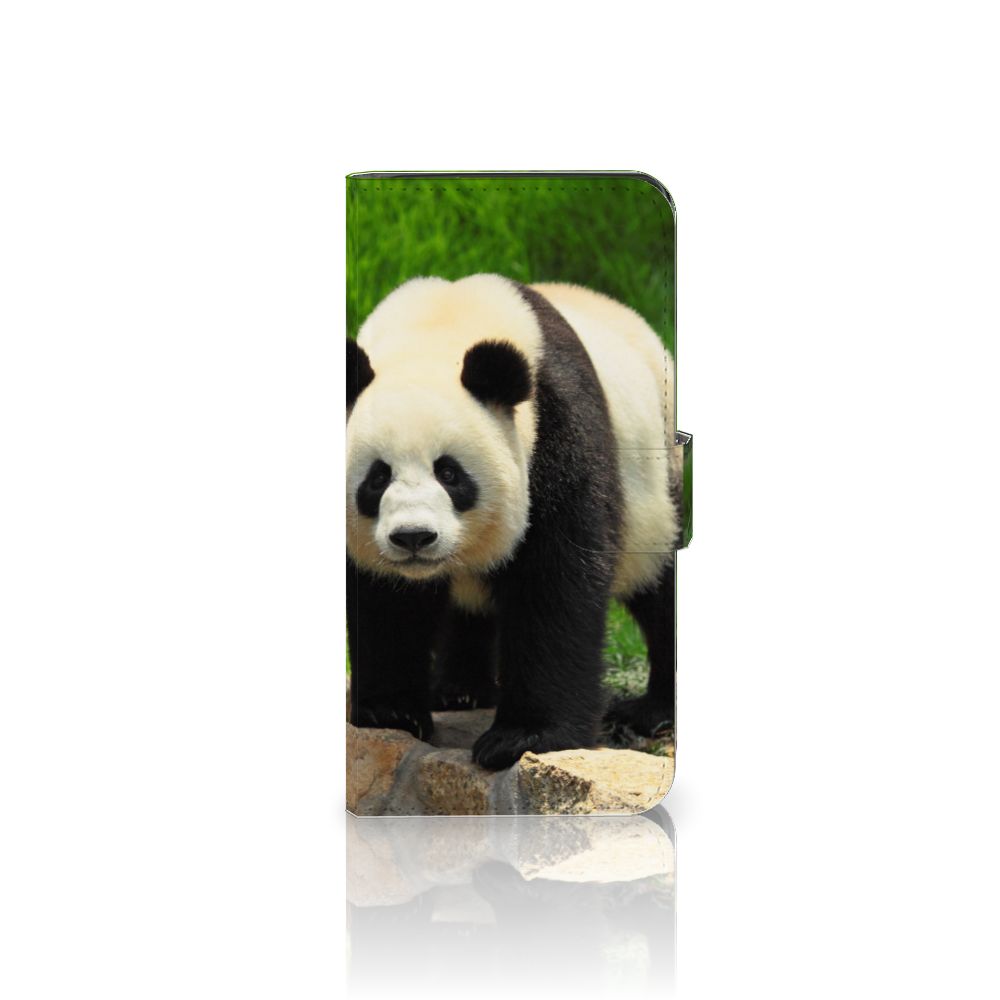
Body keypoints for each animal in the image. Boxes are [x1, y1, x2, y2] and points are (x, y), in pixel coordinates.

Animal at [347, 274, 681, 771]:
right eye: (377, 477)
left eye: (449, 473)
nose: (414, 538)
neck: (437, 330)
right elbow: (384, 599)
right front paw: (391, 711)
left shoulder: (555, 429)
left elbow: (556, 581)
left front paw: (523, 737)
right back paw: (459, 690)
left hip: (657, 487)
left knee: (659, 583)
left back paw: (653, 710)